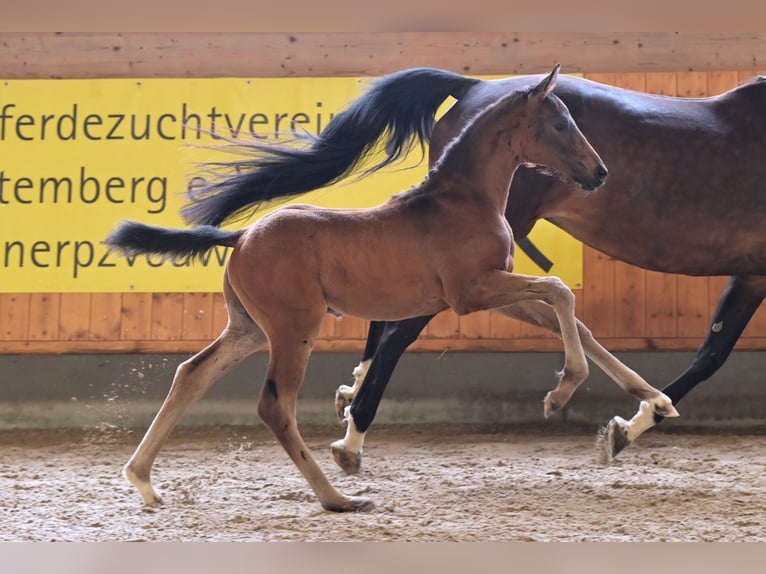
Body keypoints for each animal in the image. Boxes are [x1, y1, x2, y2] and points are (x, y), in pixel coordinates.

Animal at [108, 67, 672, 512]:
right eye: (559, 123)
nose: (599, 172)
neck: (462, 200)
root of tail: (242, 235)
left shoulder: (493, 294)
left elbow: (573, 318)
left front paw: (653, 403)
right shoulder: (472, 292)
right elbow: (561, 291)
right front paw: (562, 392)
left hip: (249, 329)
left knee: (191, 374)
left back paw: (144, 481)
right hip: (294, 328)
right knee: (274, 406)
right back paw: (338, 499)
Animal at [177, 66, 766, 472]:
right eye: (560, 124)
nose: (601, 173)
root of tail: (474, 83)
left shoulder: (753, 273)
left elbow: (704, 348)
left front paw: (637, 415)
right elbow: (703, 352)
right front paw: (617, 418)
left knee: (393, 313)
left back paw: (352, 400)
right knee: (399, 332)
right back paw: (353, 434)